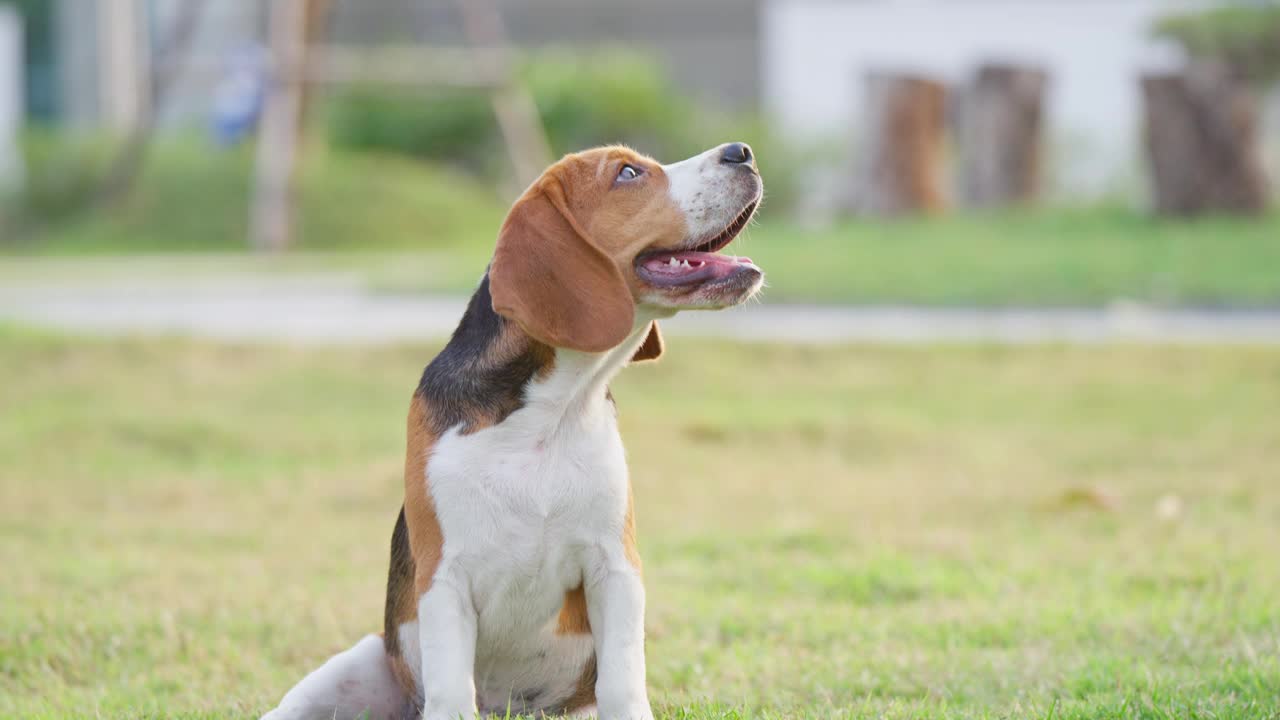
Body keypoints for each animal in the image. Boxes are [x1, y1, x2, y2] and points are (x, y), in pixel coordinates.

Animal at [259, 141, 757, 717]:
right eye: (629, 173)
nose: (742, 152)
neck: (550, 411)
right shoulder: (444, 577)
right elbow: (453, 692)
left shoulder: (615, 567)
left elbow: (624, 680)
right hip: (358, 665)